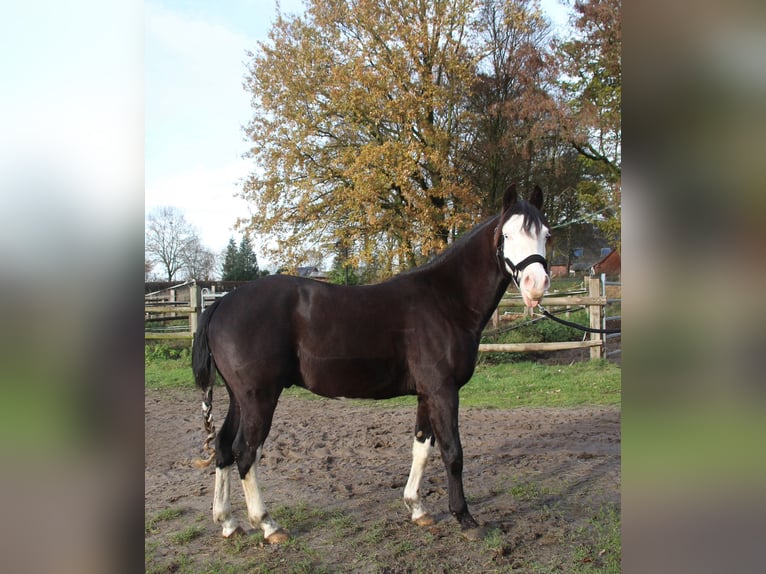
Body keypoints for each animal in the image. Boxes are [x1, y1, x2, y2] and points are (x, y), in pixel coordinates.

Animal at [191, 183, 550, 543]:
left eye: (546, 233)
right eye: (508, 234)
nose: (537, 284)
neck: (445, 302)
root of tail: (221, 304)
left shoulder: (427, 395)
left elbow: (422, 448)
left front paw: (417, 509)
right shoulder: (443, 392)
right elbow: (453, 453)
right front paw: (464, 518)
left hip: (240, 397)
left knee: (223, 447)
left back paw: (228, 522)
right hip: (259, 398)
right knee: (245, 451)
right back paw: (267, 524)